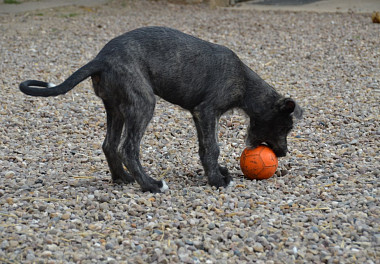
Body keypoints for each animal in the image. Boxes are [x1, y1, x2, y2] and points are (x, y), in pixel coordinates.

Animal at [19, 26, 302, 192]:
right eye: (286, 127)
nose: (283, 153)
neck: (245, 83)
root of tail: (101, 59)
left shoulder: (200, 116)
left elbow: (204, 148)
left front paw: (217, 173)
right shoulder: (207, 112)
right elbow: (212, 147)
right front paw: (217, 180)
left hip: (117, 108)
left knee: (110, 145)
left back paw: (123, 178)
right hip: (143, 103)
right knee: (128, 148)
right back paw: (151, 185)